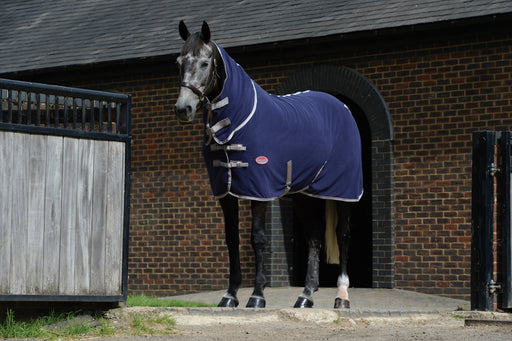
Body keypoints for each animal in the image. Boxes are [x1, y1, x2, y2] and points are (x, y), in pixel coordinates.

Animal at [174, 21, 362, 308]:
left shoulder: (258, 189)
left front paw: (257, 296)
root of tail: (341, 106)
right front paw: (230, 295)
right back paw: (305, 295)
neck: (238, 120)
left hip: (343, 191)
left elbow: (258, 238)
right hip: (303, 194)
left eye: (205, 63)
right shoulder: (225, 191)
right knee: (314, 237)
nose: (183, 109)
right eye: (179, 62)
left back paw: (341, 296)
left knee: (343, 236)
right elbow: (231, 238)